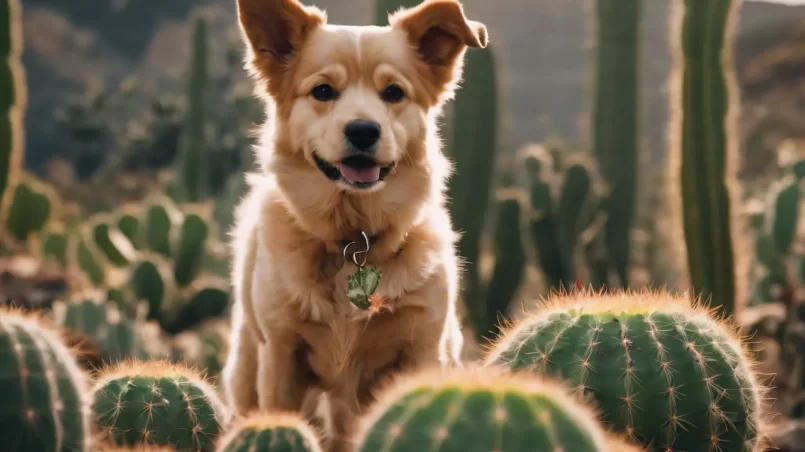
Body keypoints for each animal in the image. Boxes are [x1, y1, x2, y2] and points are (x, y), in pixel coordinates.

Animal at [218, 0, 484, 448]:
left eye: (393, 92)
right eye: (323, 91)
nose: (363, 131)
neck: (352, 239)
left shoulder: (423, 347)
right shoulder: (282, 352)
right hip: (249, 363)